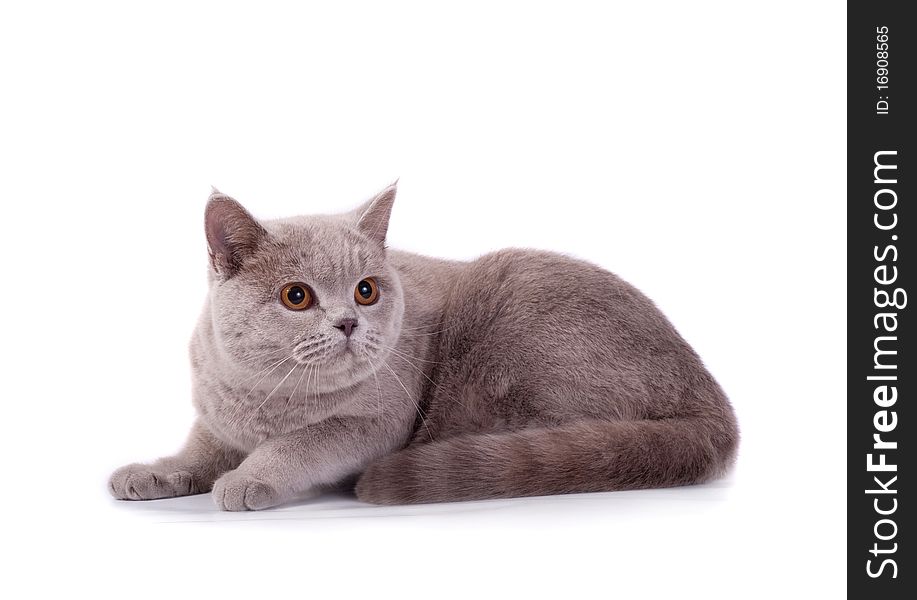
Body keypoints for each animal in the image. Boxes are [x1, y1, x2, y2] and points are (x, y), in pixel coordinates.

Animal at [107, 183, 736, 510]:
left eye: (366, 290)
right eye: (296, 296)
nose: (348, 323)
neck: (269, 397)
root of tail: (709, 396)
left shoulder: (375, 422)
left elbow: (304, 443)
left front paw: (246, 478)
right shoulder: (214, 418)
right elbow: (195, 452)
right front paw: (153, 473)